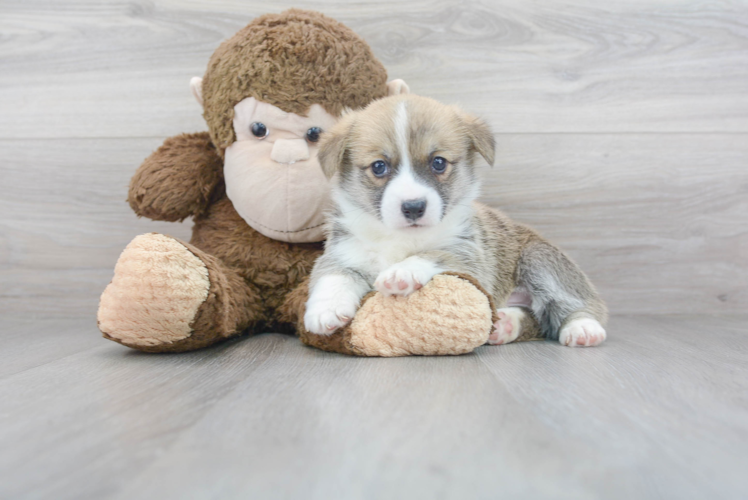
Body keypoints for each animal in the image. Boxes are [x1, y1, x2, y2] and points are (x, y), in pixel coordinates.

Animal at [304, 96, 608, 348]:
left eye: (438, 162)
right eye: (379, 166)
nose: (413, 207)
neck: (401, 237)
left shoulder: (468, 256)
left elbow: (432, 254)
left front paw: (401, 273)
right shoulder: (342, 253)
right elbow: (334, 276)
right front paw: (324, 309)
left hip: (540, 257)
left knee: (577, 304)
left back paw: (582, 328)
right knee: (534, 318)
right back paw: (505, 325)